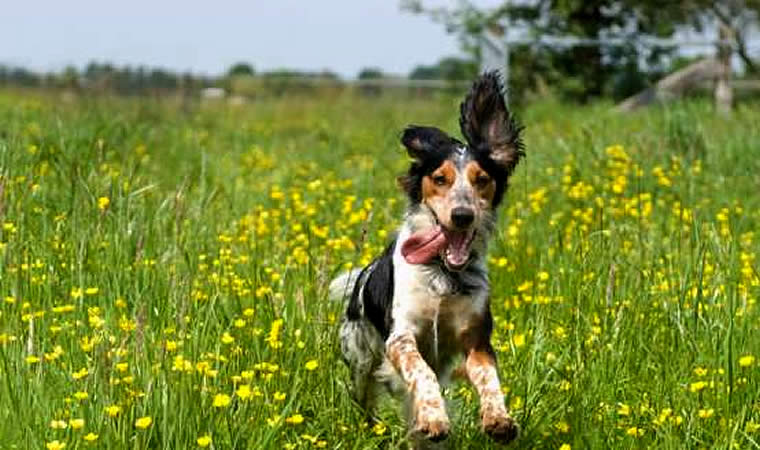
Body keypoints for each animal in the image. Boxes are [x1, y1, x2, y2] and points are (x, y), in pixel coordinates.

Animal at [330, 72, 524, 444]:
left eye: (482, 179)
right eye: (439, 179)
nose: (462, 215)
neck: (443, 275)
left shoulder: (477, 339)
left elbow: (489, 378)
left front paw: (498, 418)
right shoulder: (401, 337)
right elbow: (420, 371)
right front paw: (434, 418)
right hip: (359, 358)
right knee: (365, 396)